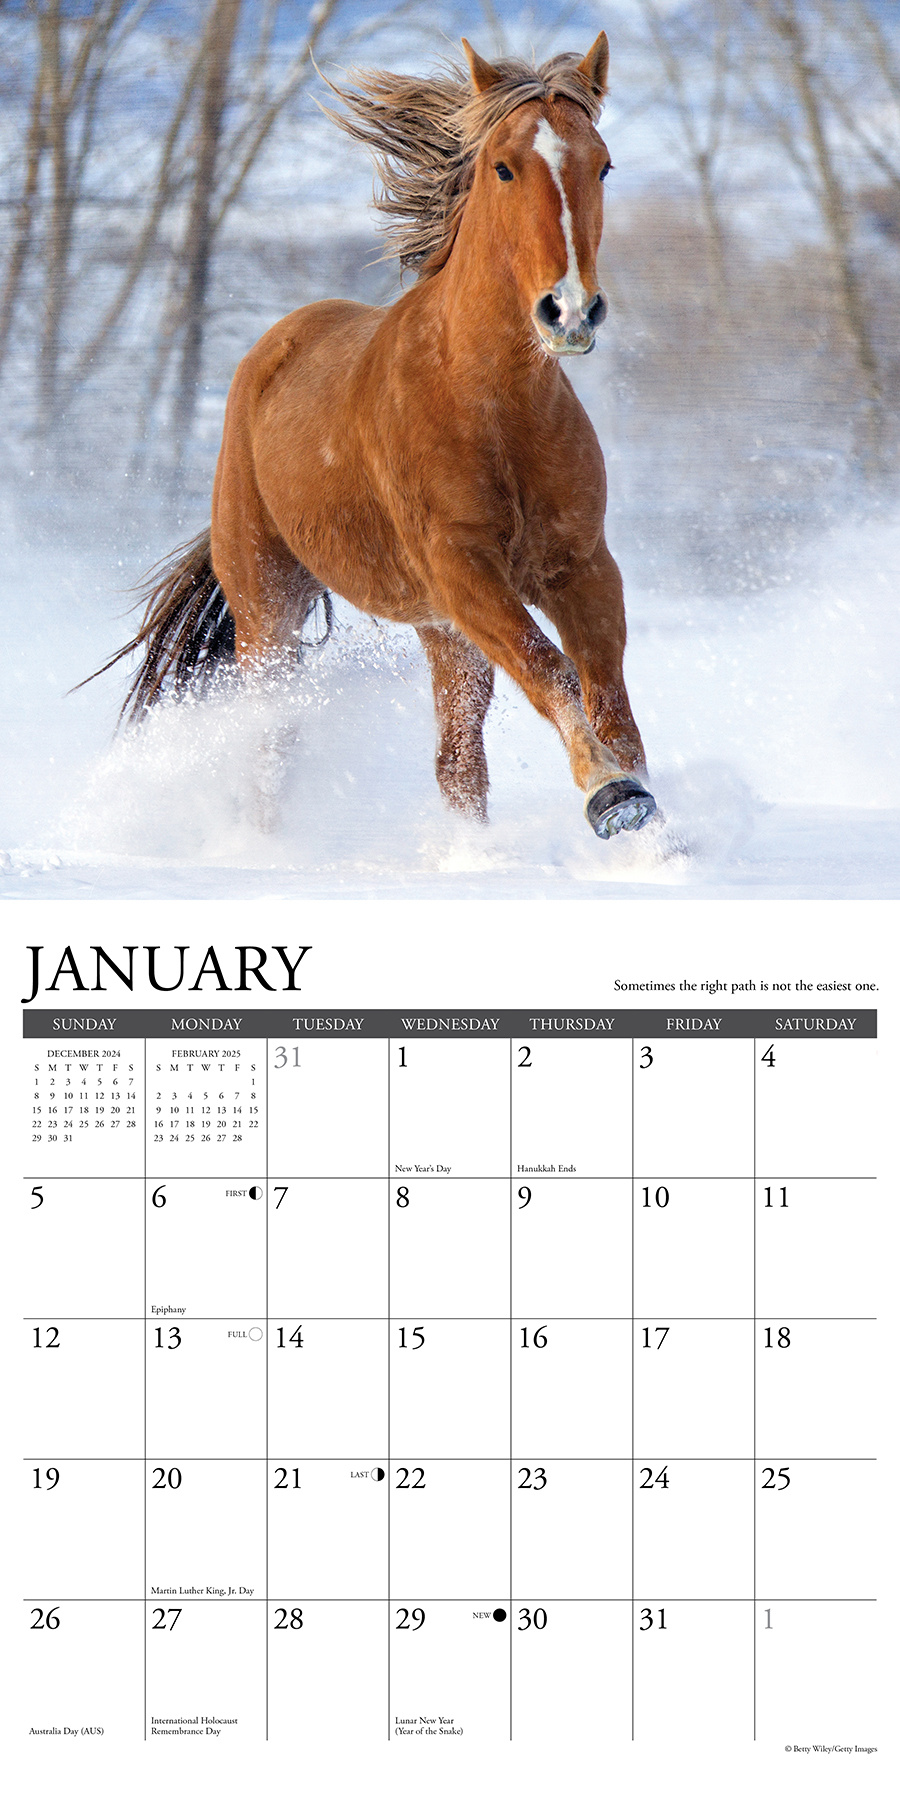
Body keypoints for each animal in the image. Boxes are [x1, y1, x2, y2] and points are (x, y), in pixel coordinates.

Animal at [93, 31, 657, 841]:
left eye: (603, 163)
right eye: (503, 166)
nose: (570, 311)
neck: (493, 406)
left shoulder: (578, 565)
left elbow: (608, 698)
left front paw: (645, 814)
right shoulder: (462, 569)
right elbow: (551, 671)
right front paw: (611, 794)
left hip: (440, 631)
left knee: (457, 762)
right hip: (269, 608)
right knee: (271, 742)